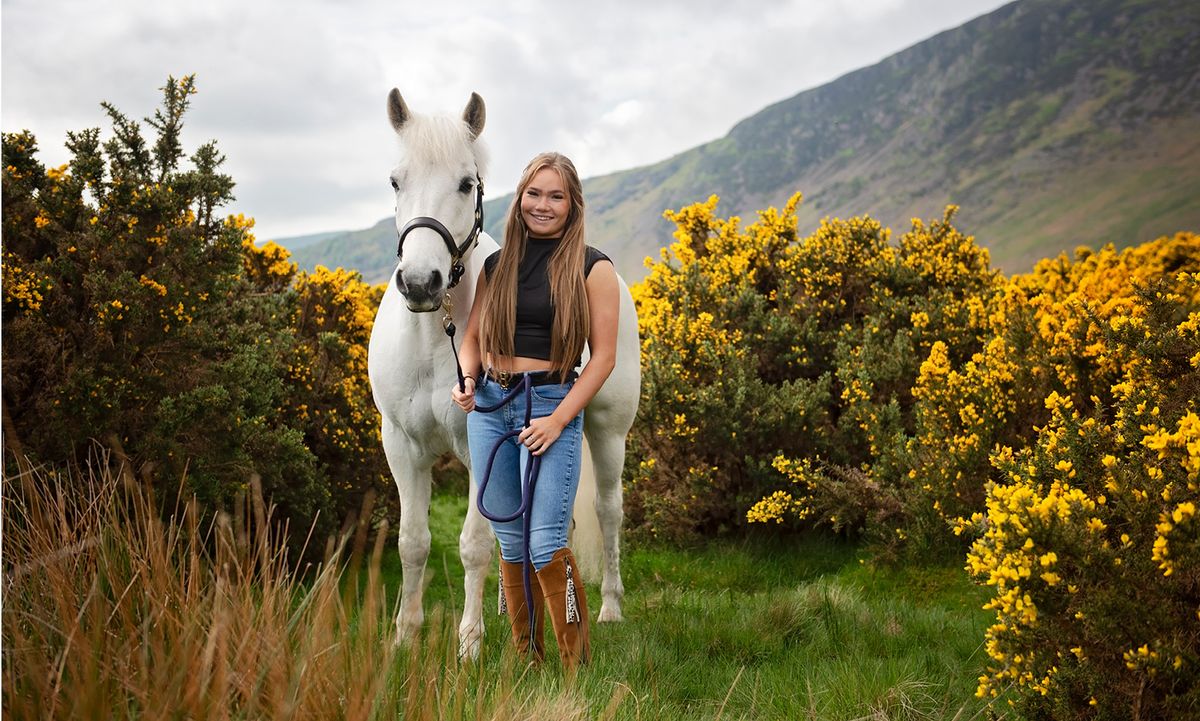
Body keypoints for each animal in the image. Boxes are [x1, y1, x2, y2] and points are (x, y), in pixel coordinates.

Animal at [369, 89, 643, 657]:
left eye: (465, 182)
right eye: (395, 180)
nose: (420, 282)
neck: (436, 337)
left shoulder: (479, 450)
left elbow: (473, 544)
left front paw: (469, 643)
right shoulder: (401, 446)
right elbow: (412, 543)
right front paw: (404, 636)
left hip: (609, 433)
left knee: (608, 511)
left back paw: (609, 608)